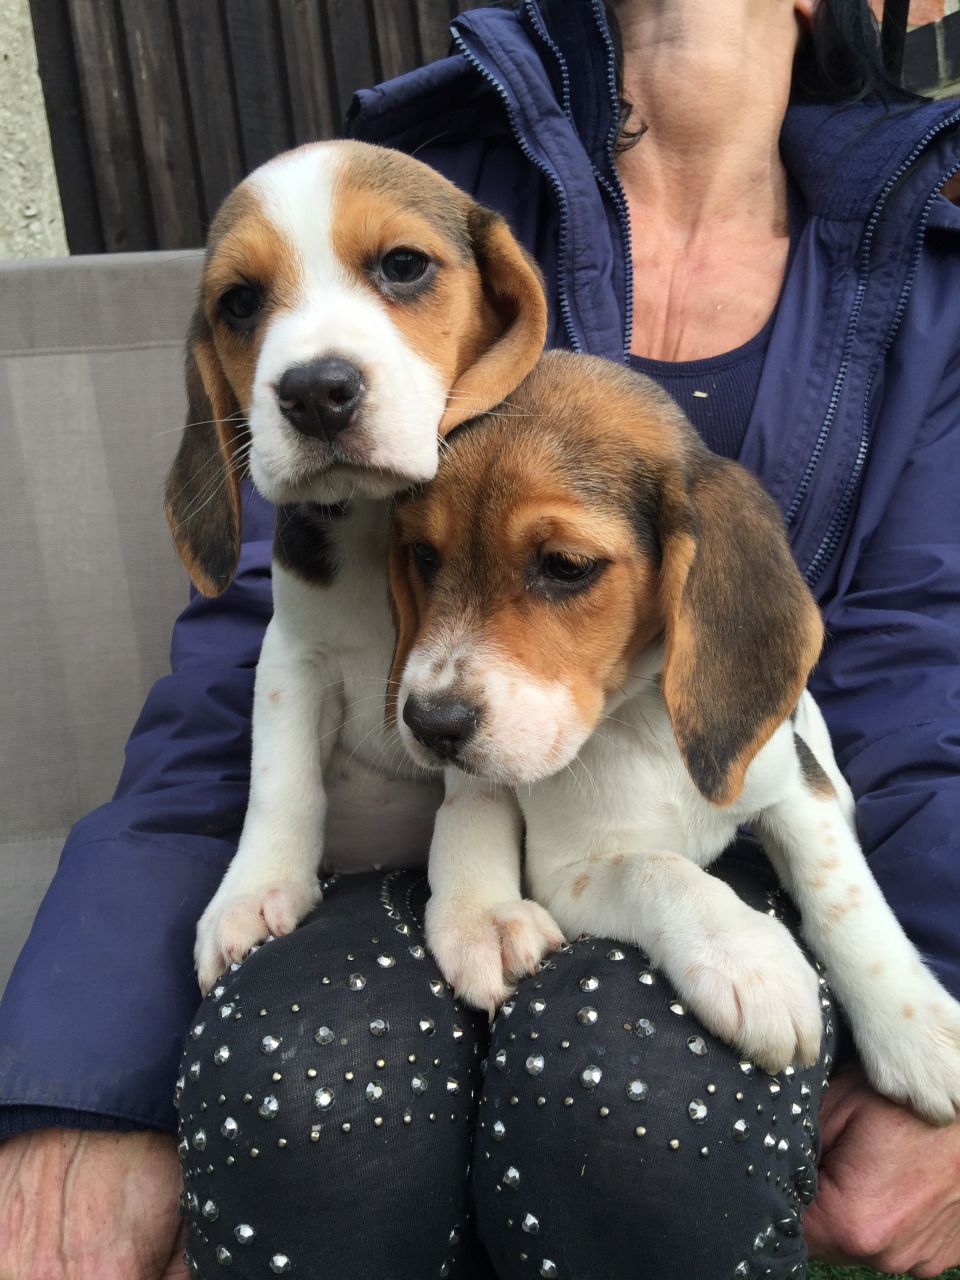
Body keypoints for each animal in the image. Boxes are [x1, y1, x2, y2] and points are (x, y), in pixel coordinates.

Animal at [166, 140, 555, 988]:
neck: (380, 524)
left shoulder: (477, 673)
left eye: (403, 265)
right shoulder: (293, 658)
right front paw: (254, 889)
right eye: (239, 303)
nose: (315, 392)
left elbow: (473, 794)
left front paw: (476, 911)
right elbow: (280, 782)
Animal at [389, 348, 960, 1121]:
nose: (430, 722)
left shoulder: (789, 788)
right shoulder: (567, 875)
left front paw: (917, 1025)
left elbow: (848, 902)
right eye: (424, 556)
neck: (641, 716)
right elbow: (658, 867)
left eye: (565, 566)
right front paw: (748, 957)